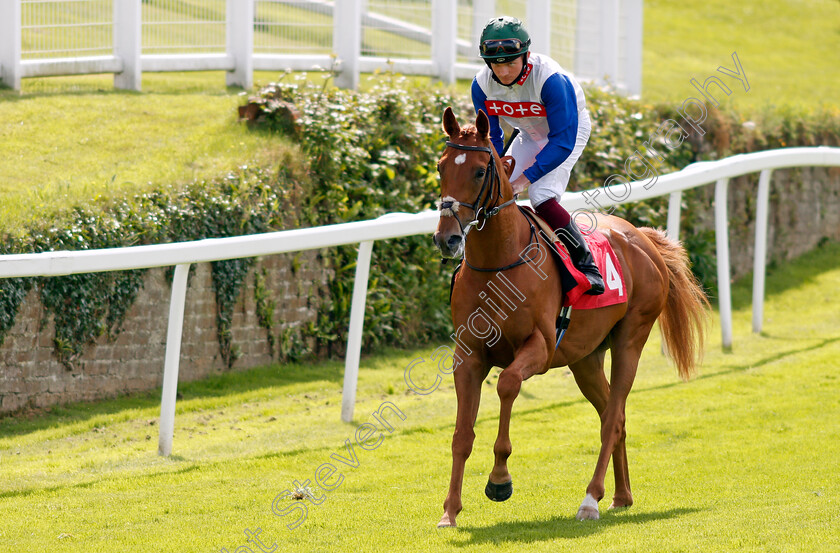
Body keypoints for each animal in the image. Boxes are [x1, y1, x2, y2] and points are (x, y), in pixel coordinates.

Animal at [434, 108, 708, 528]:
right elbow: (462, 434)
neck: (499, 263)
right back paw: (621, 496)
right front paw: (450, 510)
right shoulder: (468, 355)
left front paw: (499, 479)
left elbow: (508, 384)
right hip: (585, 359)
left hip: (631, 338)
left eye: (480, 171)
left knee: (612, 418)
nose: (447, 238)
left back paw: (591, 499)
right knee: (615, 416)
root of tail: (643, 238)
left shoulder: (540, 347)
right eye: (441, 167)